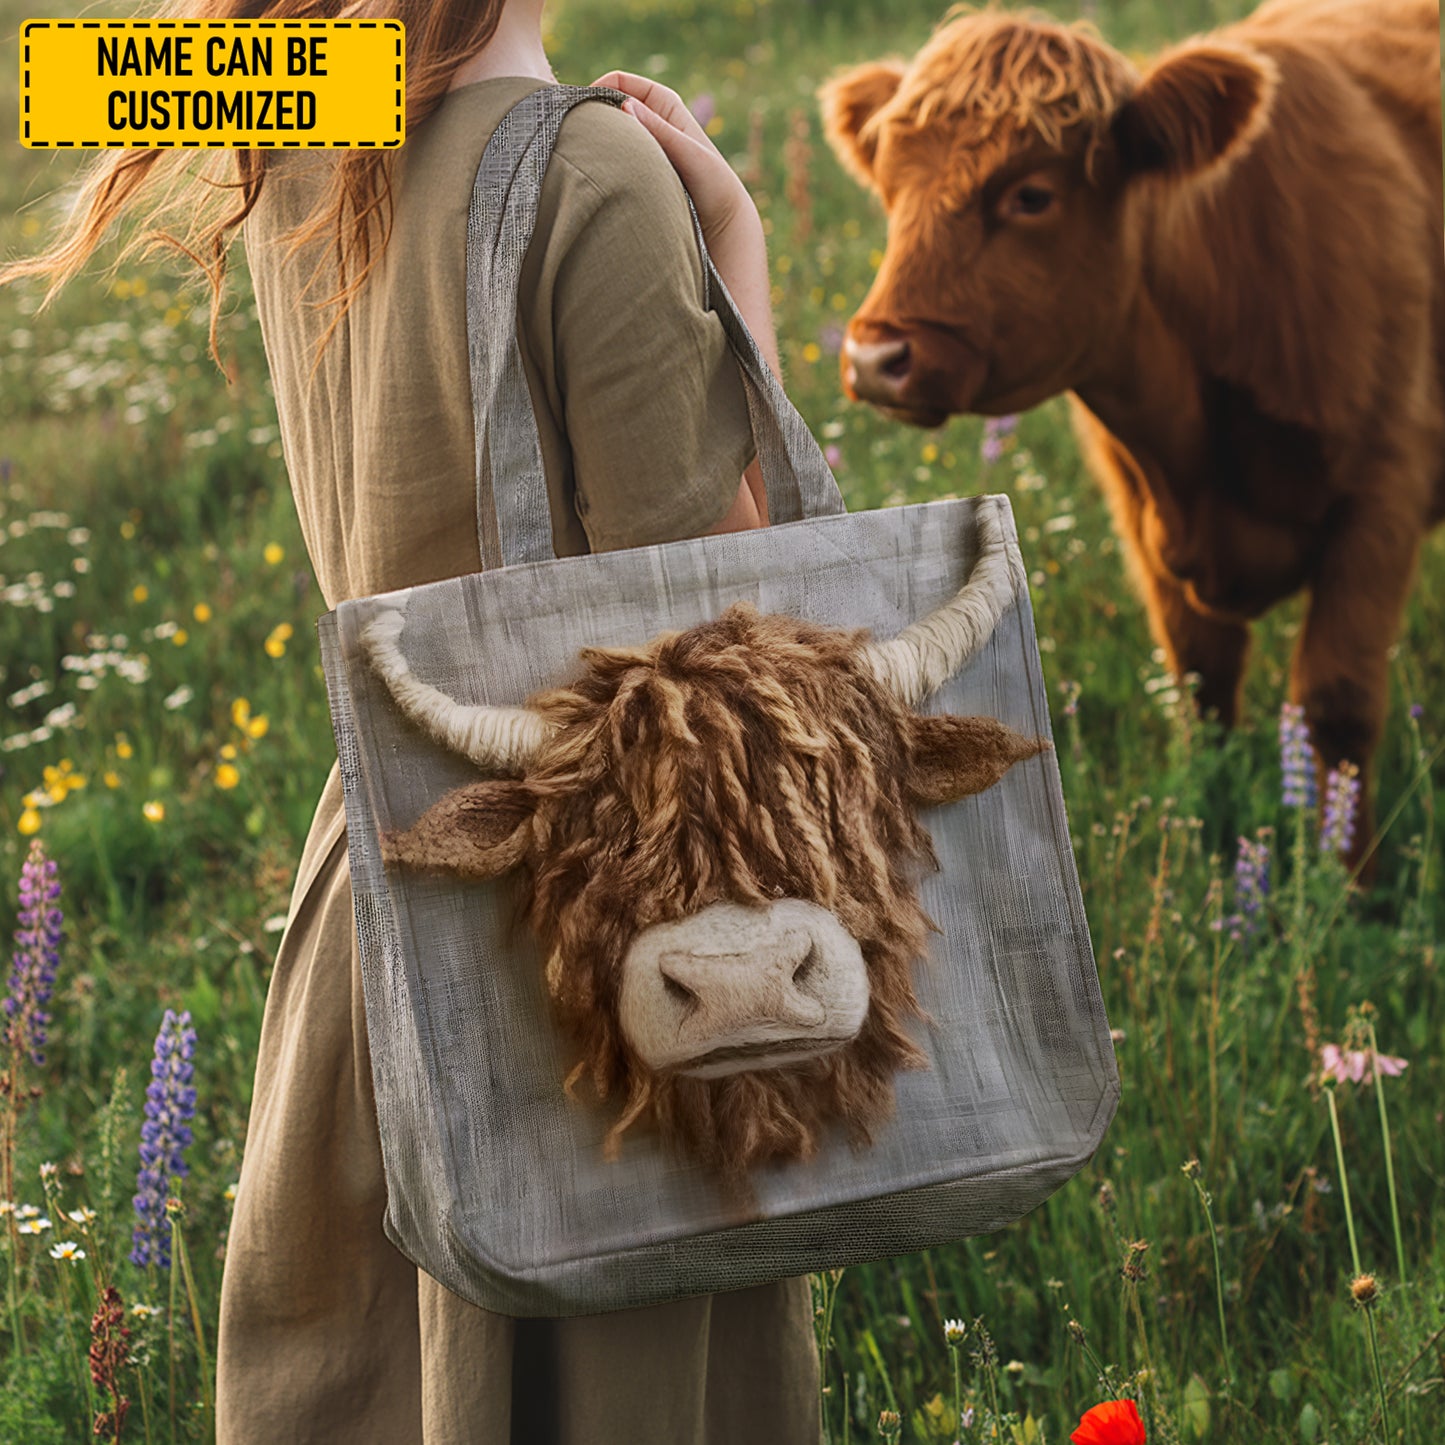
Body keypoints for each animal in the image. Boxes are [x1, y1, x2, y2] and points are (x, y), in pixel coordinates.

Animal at [821, 0, 1444, 864]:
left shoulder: (1381, 498)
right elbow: (1201, 690)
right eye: (889, 183)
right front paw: (1208, 844)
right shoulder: (1145, 521)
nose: (877, 359)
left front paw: (1344, 875)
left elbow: (1337, 707)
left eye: (1032, 194)